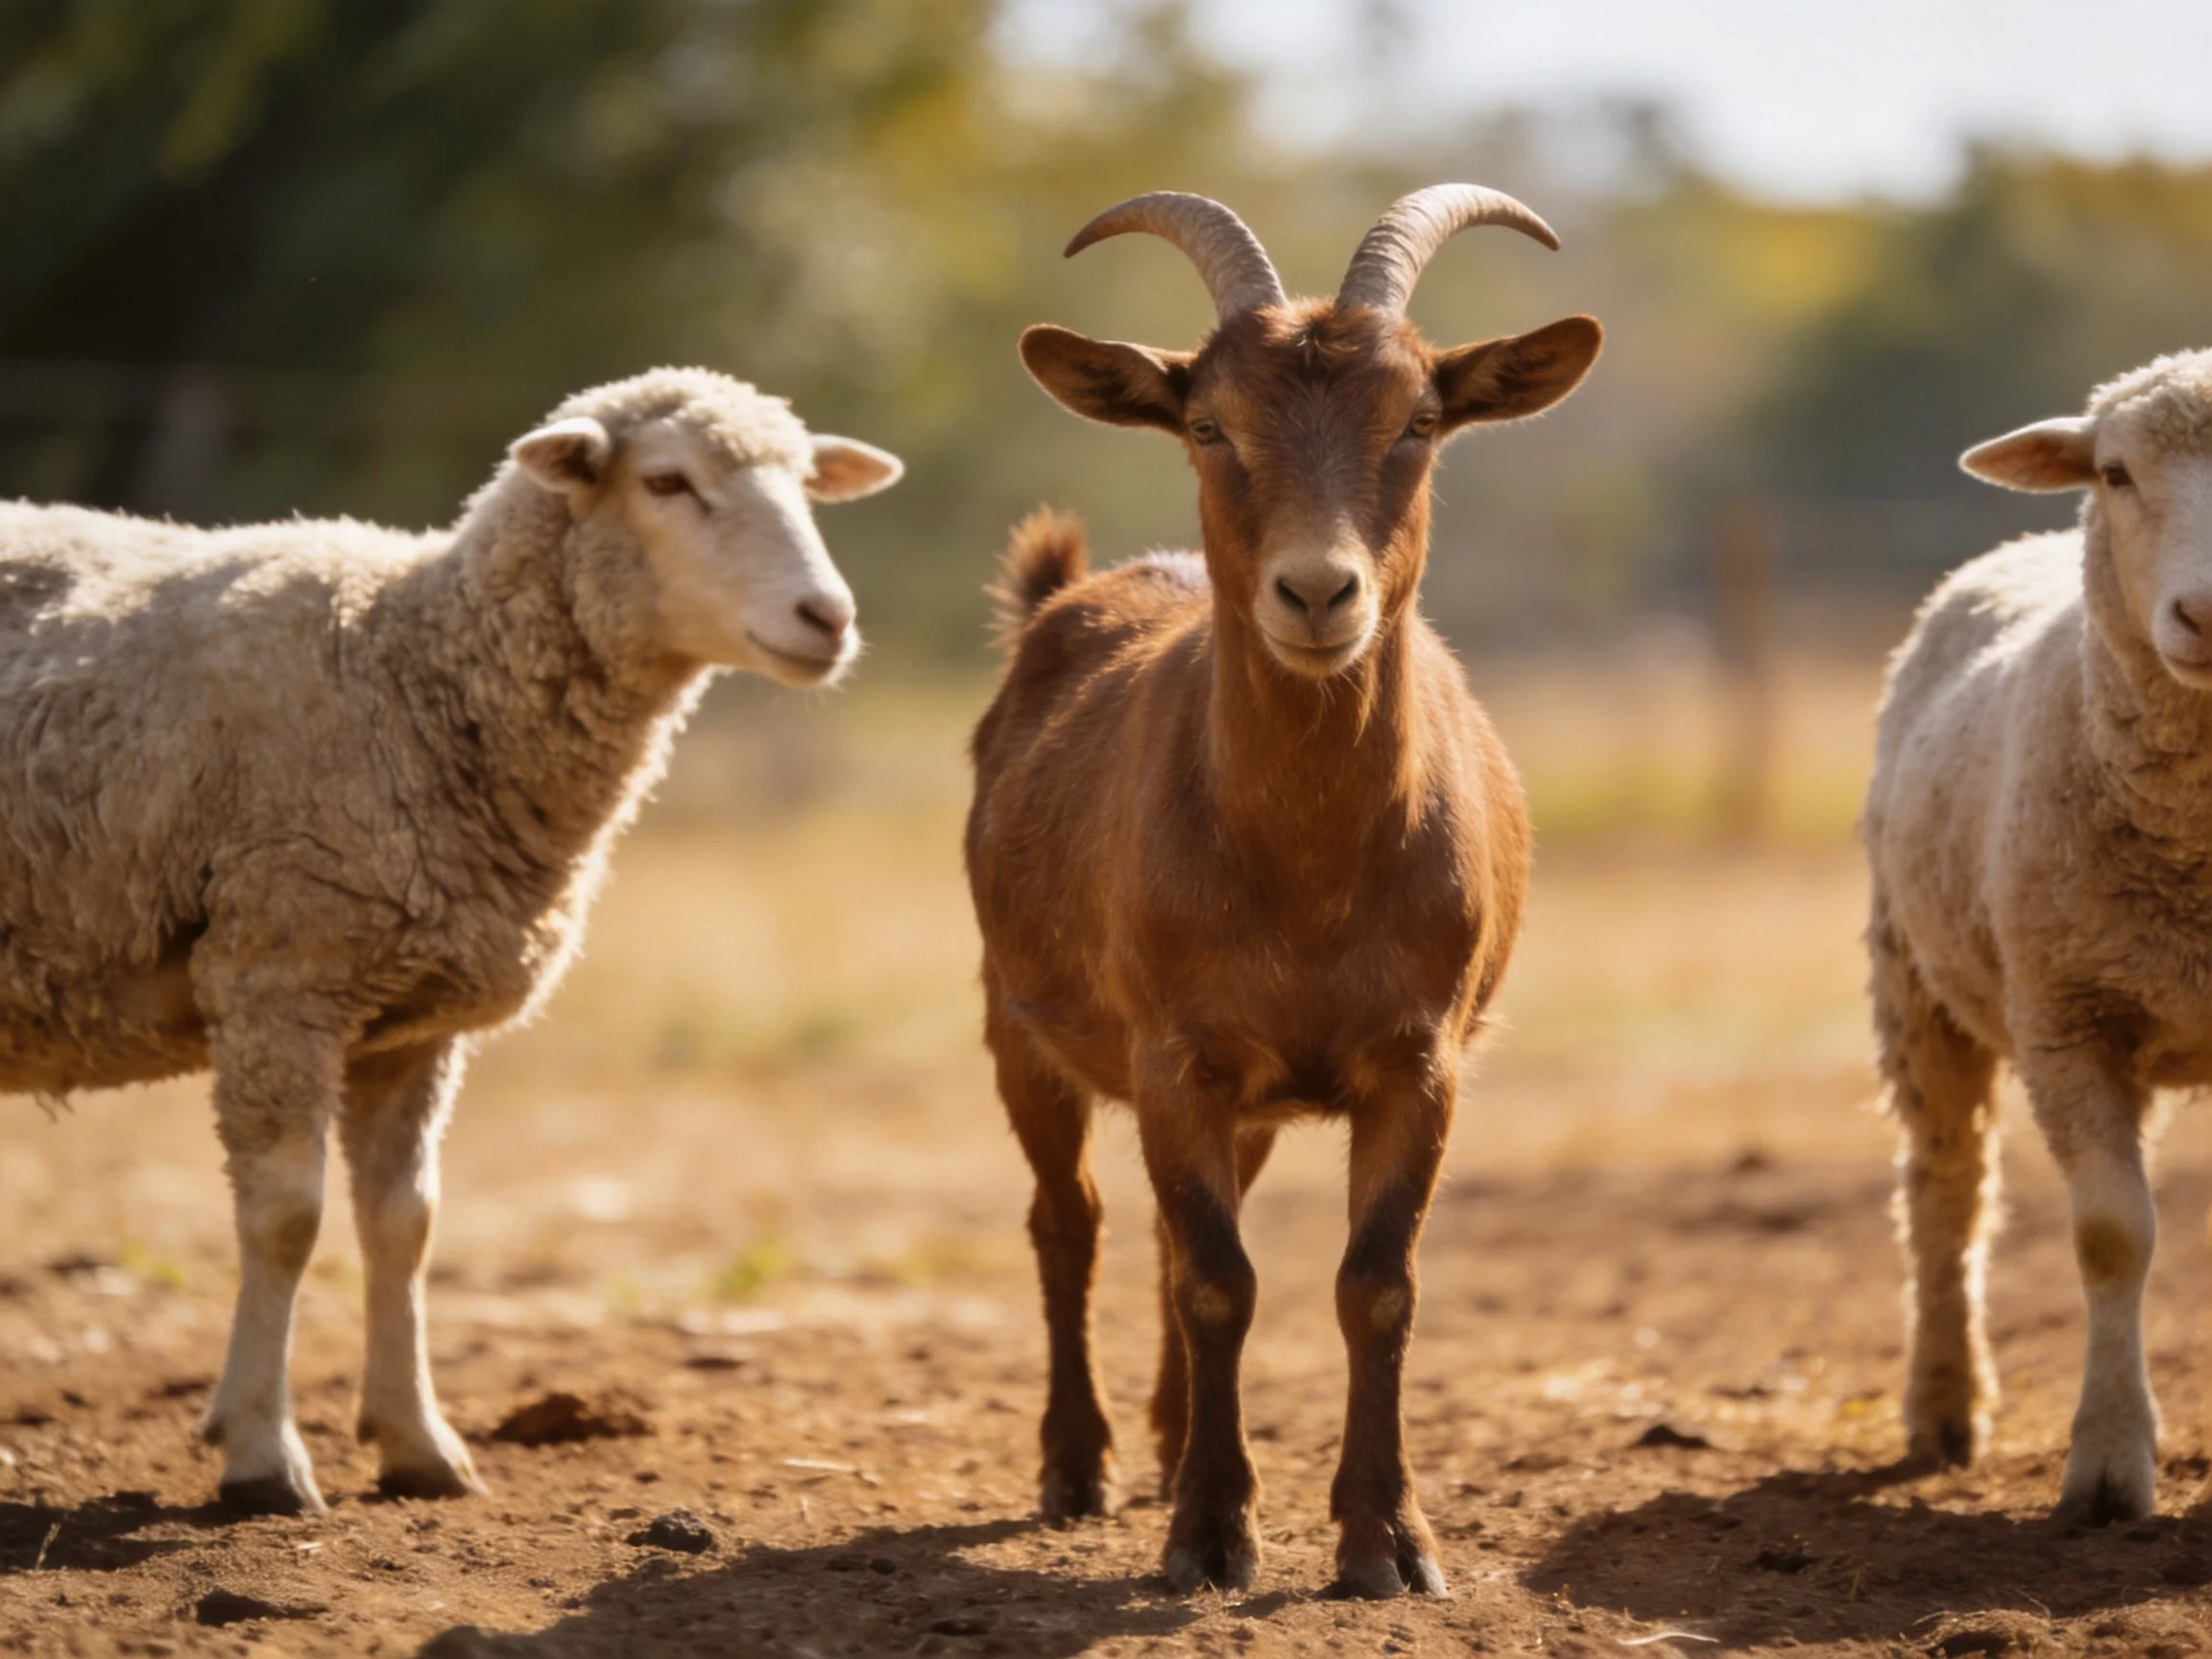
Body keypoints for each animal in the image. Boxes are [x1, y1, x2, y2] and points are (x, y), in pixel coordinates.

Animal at [0, 366, 901, 1514]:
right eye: (666, 482)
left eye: (805, 484)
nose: (827, 616)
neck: (409, 667)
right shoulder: (277, 976)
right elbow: (286, 1221)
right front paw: (263, 1455)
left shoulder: (412, 1022)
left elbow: (405, 1224)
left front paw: (419, 1444)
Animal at [965, 187, 1601, 1597]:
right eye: (1210, 424)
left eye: (1417, 420)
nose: (1318, 592)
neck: (1308, 873)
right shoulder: (1174, 1054)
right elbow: (1218, 1281)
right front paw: (1210, 1537)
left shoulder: (1417, 1061)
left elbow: (1374, 1285)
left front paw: (1388, 1544)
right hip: (1017, 1023)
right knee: (1070, 1221)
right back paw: (1080, 1466)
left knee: (1159, 1233)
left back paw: (1157, 1445)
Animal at [1865, 347, 2212, 1523]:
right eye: (2114, 473)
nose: (2210, 612)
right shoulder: (2067, 1022)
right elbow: (2113, 1238)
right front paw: (2108, 1463)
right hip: (1918, 986)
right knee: (1945, 1189)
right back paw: (1943, 1405)